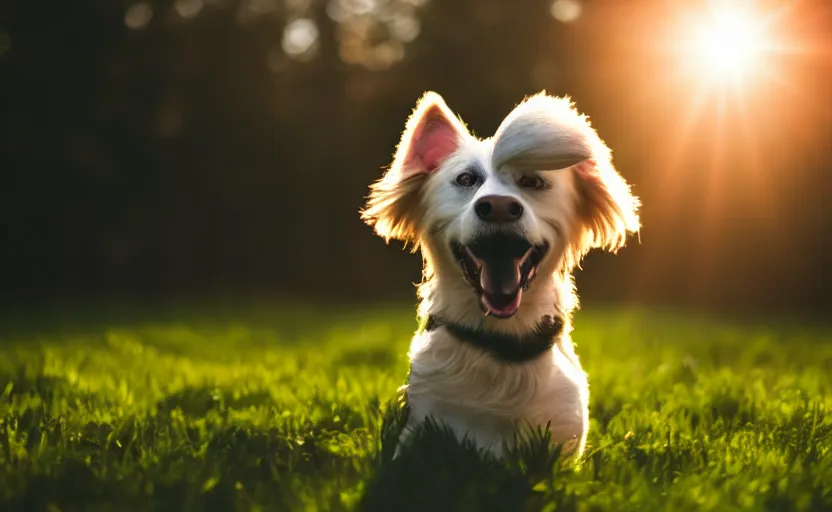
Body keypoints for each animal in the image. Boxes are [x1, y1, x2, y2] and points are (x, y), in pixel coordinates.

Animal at [360, 91, 640, 460]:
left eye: (532, 181)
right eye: (466, 179)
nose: (498, 206)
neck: (500, 345)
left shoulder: (564, 445)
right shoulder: (419, 430)